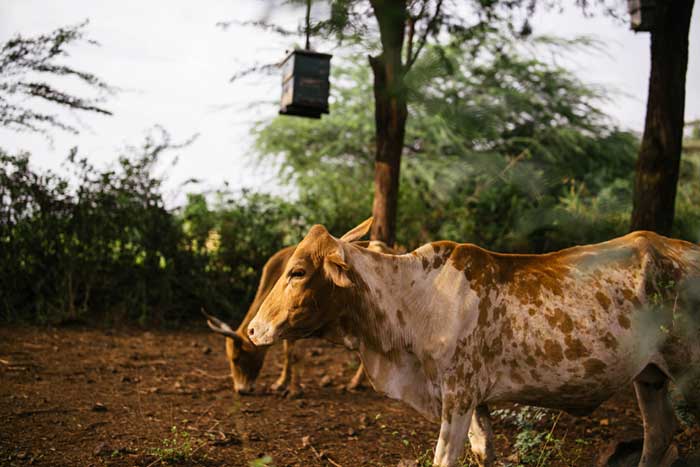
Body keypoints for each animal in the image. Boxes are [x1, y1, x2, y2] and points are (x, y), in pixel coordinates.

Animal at [205, 241, 396, 398]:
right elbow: (287, 353)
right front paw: (281, 383)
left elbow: (294, 354)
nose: (240, 390)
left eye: (236, 358)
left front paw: (295, 390)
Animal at [246, 219, 700, 467]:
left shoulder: (459, 395)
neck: (414, 299)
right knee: (659, 432)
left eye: (298, 272)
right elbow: (484, 452)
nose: (253, 330)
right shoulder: (476, 401)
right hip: (650, 375)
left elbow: (444, 457)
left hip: (687, 372)